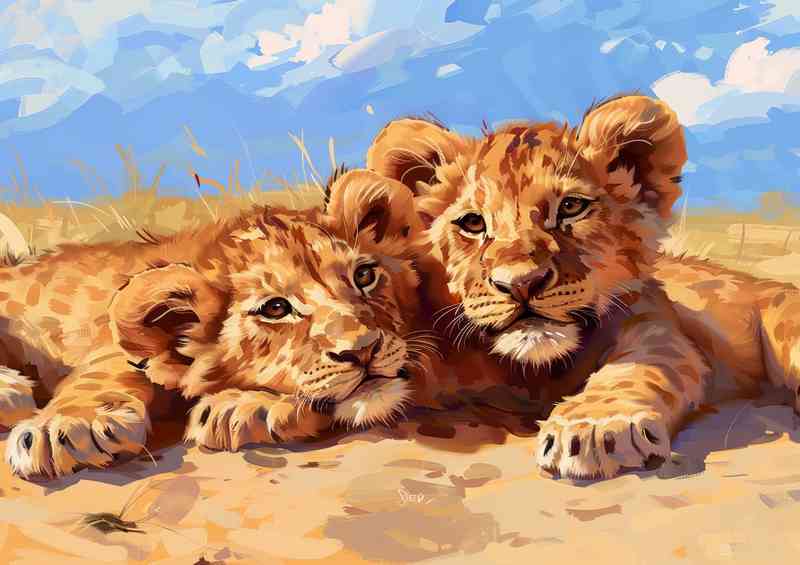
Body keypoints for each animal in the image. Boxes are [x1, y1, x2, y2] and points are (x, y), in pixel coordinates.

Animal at [1, 169, 430, 479]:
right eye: (276, 309)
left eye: (364, 276)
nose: (365, 349)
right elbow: (109, 365)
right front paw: (64, 429)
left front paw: (246, 407)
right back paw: (12, 392)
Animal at [366, 94, 800, 479]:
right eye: (473, 223)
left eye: (571, 207)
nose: (521, 283)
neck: (534, 372)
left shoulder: (654, 325)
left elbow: (635, 368)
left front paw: (595, 428)